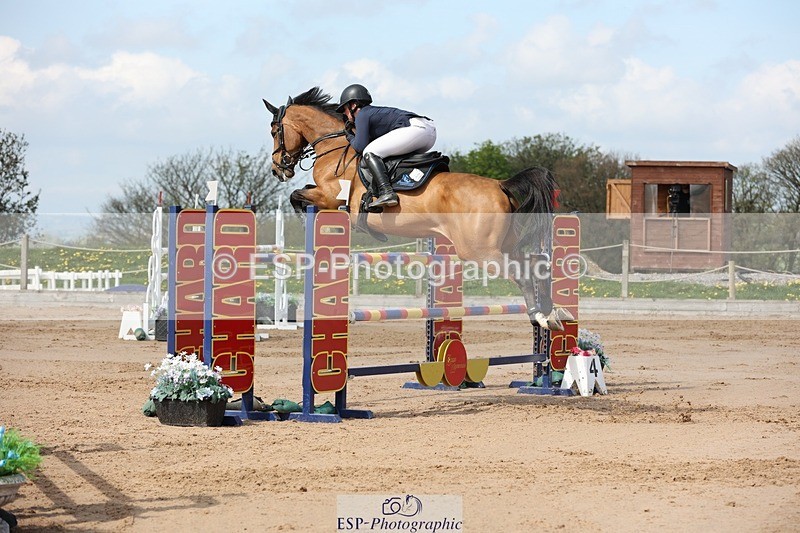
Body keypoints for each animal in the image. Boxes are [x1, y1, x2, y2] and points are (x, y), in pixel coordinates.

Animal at [262, 87, 572, 330]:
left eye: (275, 131)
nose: (278, 169)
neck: (335, 147)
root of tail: (500, 185)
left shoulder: (330, 197)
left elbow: (297, 197)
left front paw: (308, 225)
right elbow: (299, 195)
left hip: (480, 251)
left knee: (522, 274)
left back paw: (540, 317)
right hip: (504, 245)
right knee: (535, 266)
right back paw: (553, 312)